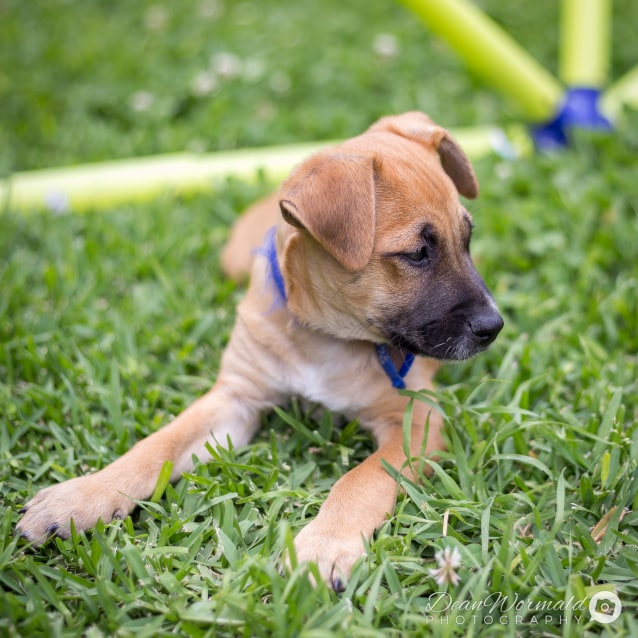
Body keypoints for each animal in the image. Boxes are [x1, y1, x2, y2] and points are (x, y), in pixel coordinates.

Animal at [16, 112, 504, 592]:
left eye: (467, 239)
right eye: (418, 253)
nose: (493, 327)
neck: (325, 336)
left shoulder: (416, 418)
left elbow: (361, 478)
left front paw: (325, 545)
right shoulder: (235, 398)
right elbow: (155, 445)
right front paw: (79, 498)